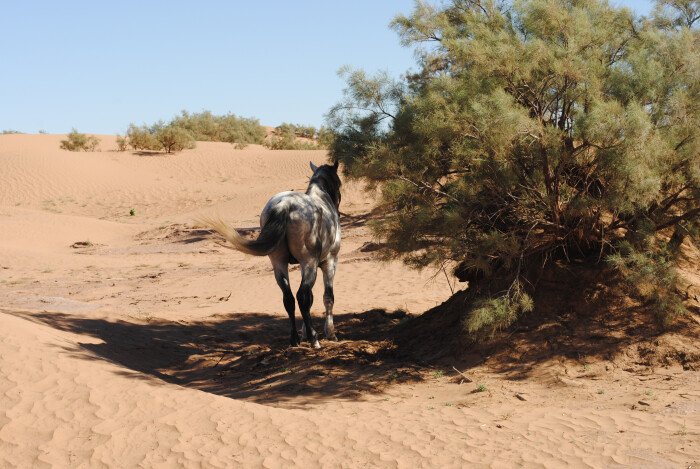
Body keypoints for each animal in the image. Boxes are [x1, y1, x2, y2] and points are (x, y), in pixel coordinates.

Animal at [200, 161, 342, 348]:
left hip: (279, 263)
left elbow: (311, 298)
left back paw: (294, 339)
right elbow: (327, 298)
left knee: (289, 298)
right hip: (309, 262)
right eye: (339, 183)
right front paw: (330, 333)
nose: (338, 208)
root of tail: (285, 205)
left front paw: (304, 333)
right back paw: (314, 339)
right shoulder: (330, 262)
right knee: (301, 296)